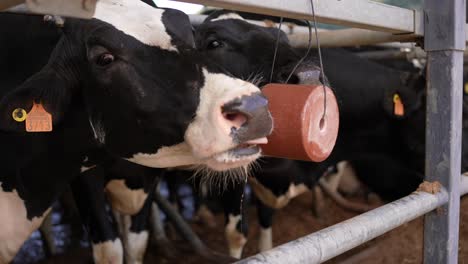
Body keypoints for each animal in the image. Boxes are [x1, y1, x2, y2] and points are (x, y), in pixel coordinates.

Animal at [0, 1, 274, 262]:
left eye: (190, 36)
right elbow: (110, 250)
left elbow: (136, 243)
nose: (254, 107)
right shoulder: (85, 178)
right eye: (104, 58)